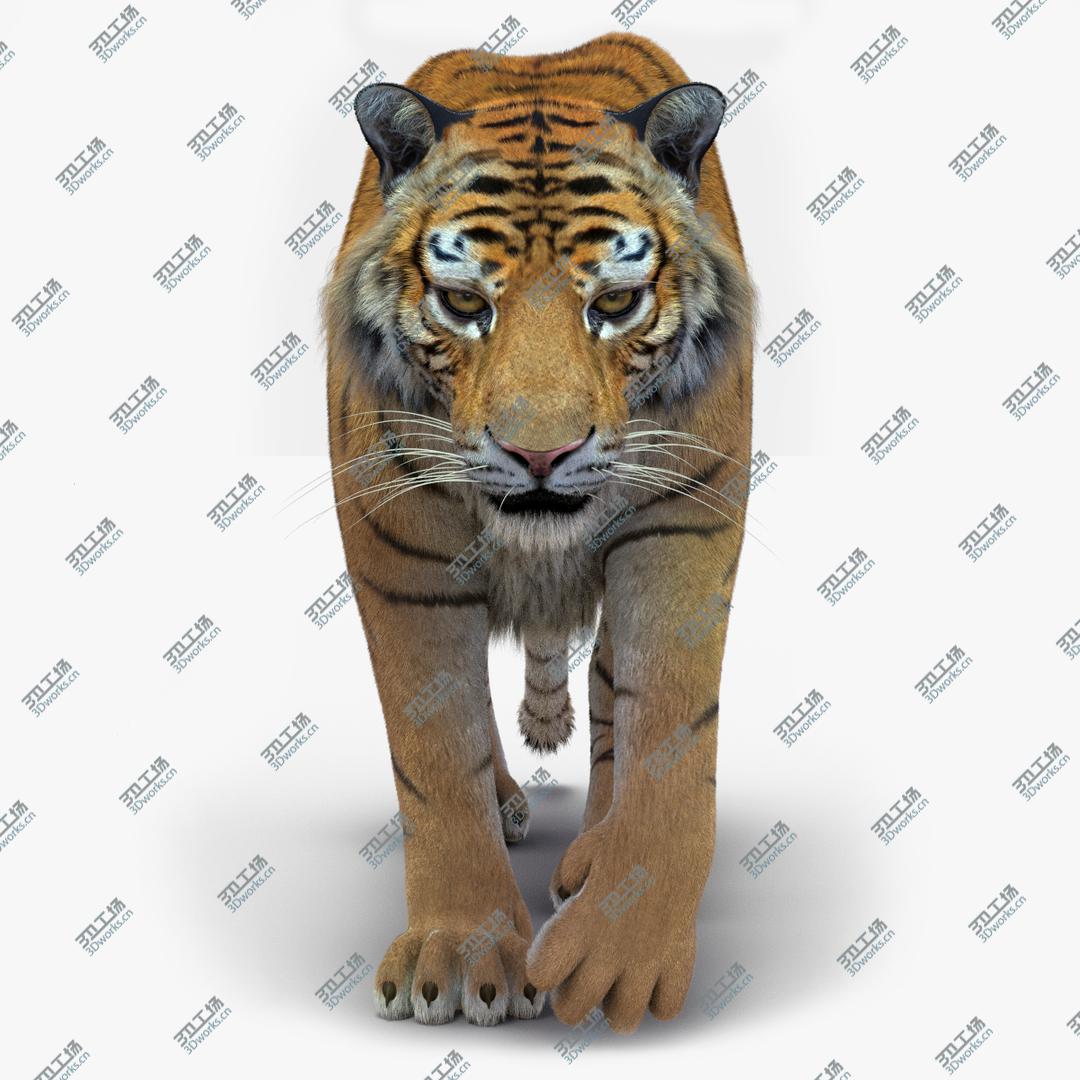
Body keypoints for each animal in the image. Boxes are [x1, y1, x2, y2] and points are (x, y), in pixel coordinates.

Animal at [323, 31, 755, 1033]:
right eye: (462, 302)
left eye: (617, 303)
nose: (541, 453)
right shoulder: (401, 547)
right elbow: (437, 755)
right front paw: (459, 954)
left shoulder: (683, 516)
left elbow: (669, 724)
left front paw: (621, 945)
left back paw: (587, 851)